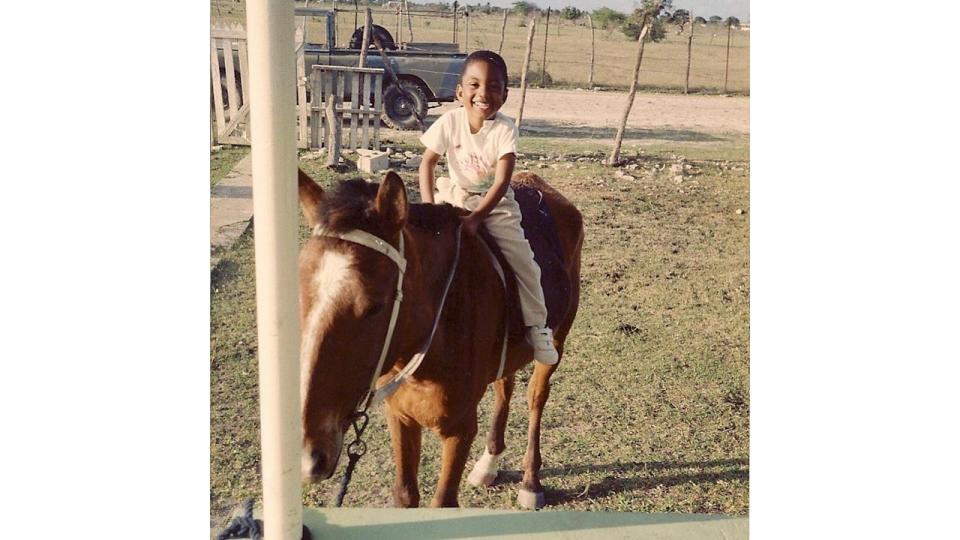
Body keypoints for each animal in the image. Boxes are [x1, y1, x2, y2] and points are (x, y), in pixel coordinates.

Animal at [300, 170, 584, 510]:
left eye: (373, 306)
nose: (310, 456)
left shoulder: (459, 431)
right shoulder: (400, 417)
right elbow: (405, 495)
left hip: (557, 340)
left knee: (536, 396)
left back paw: (530, 481)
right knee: (505, 386)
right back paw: (488, 464)